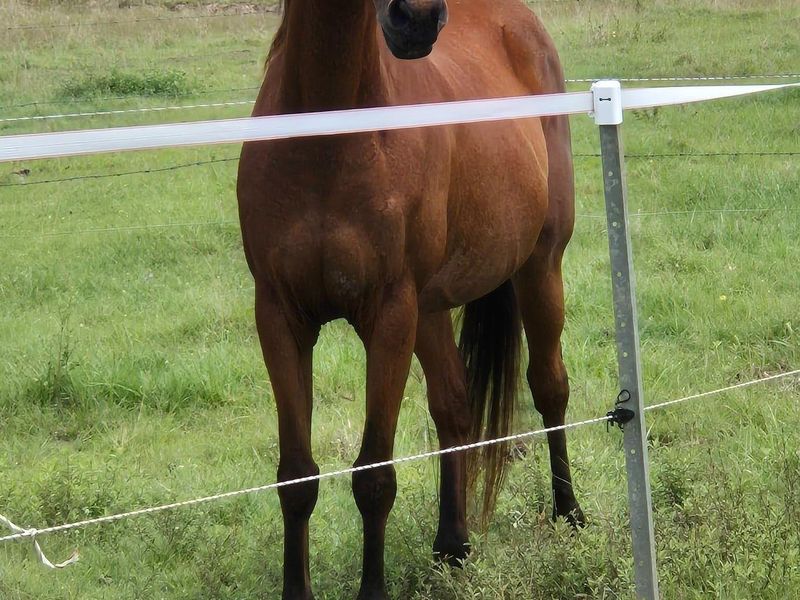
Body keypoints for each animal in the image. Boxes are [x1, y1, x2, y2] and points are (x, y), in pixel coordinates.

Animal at [236, 1, 583, 598]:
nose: (416, 20)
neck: (327, 136)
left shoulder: (390, 315)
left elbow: (375, 475)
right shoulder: (280, 316)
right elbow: (297, 476)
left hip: (539, 267)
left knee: (549, 388)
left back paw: (569, 515)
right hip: (433, 310)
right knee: (455, 408)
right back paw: (453, 547)